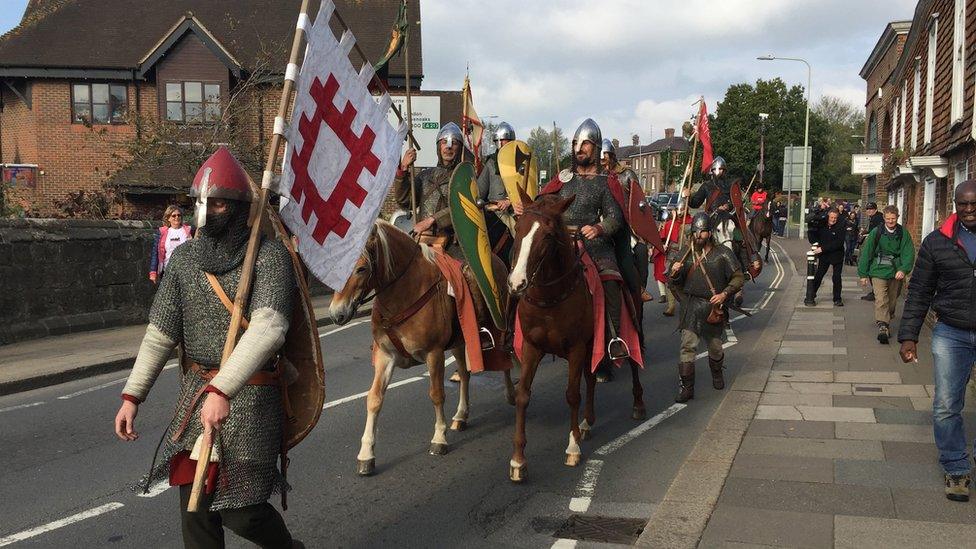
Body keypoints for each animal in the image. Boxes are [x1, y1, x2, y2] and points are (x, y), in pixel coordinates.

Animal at [330, 218, 520, 476]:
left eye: (361, 269)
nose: (336, 314)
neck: (405, 292)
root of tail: (496, 260)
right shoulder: (385, 356)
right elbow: (374, 398)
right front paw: (366, 454)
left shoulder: (434, 354)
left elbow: (436, 394)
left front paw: (439, 438)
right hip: (460, 342)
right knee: (465, 374)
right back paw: (461, 415)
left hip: (498, 329)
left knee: (504, 360)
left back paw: (511, 394)